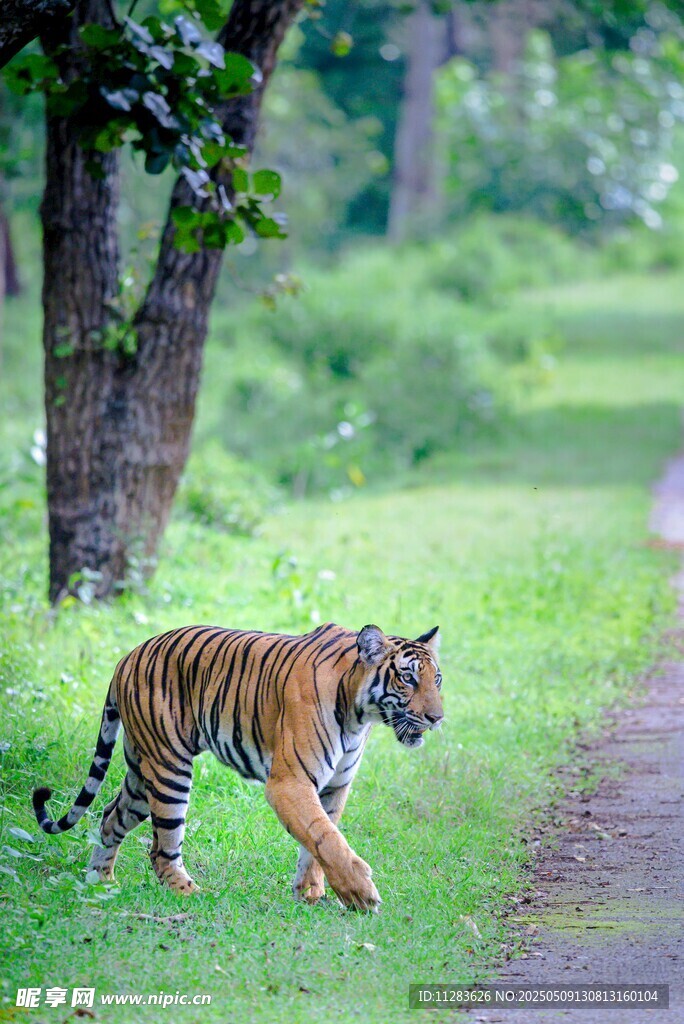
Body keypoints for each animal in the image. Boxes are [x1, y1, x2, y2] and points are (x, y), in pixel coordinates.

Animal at [33, 621, 443, 911]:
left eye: (436, 679)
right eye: (408, 678)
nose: (437, 718)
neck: (360, 712)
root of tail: (127, 656)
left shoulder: (334, 786)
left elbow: (319, 838)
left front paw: (310, 892)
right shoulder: (290, 782)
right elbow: (326, 837)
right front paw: (360, 894)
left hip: (141, 768)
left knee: (110, 816)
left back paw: (100, 882)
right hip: (169, 768)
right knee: (162, 851)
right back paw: (193, 894)